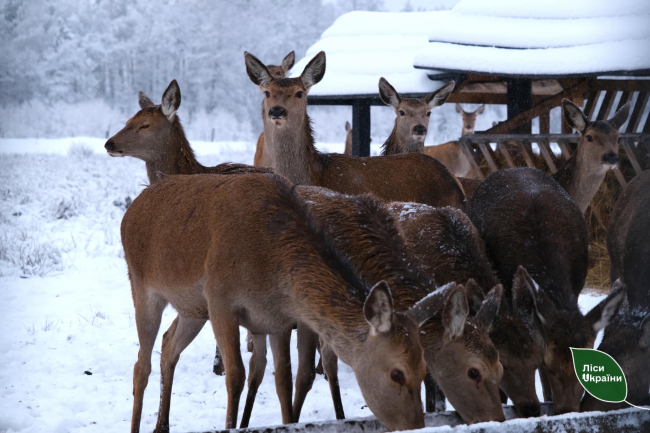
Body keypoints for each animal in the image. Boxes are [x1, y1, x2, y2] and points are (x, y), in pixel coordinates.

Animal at [122, 173, 438, 432]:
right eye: (397, 373)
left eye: (424, 368)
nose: (416, 427)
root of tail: (132, 206)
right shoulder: (220, 300)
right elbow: (235, 375)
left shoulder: (278, 321)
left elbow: (284, 380)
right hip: (143, 287)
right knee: (141, 365)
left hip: (193, 310)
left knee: (168, 345)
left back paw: (162, 425)